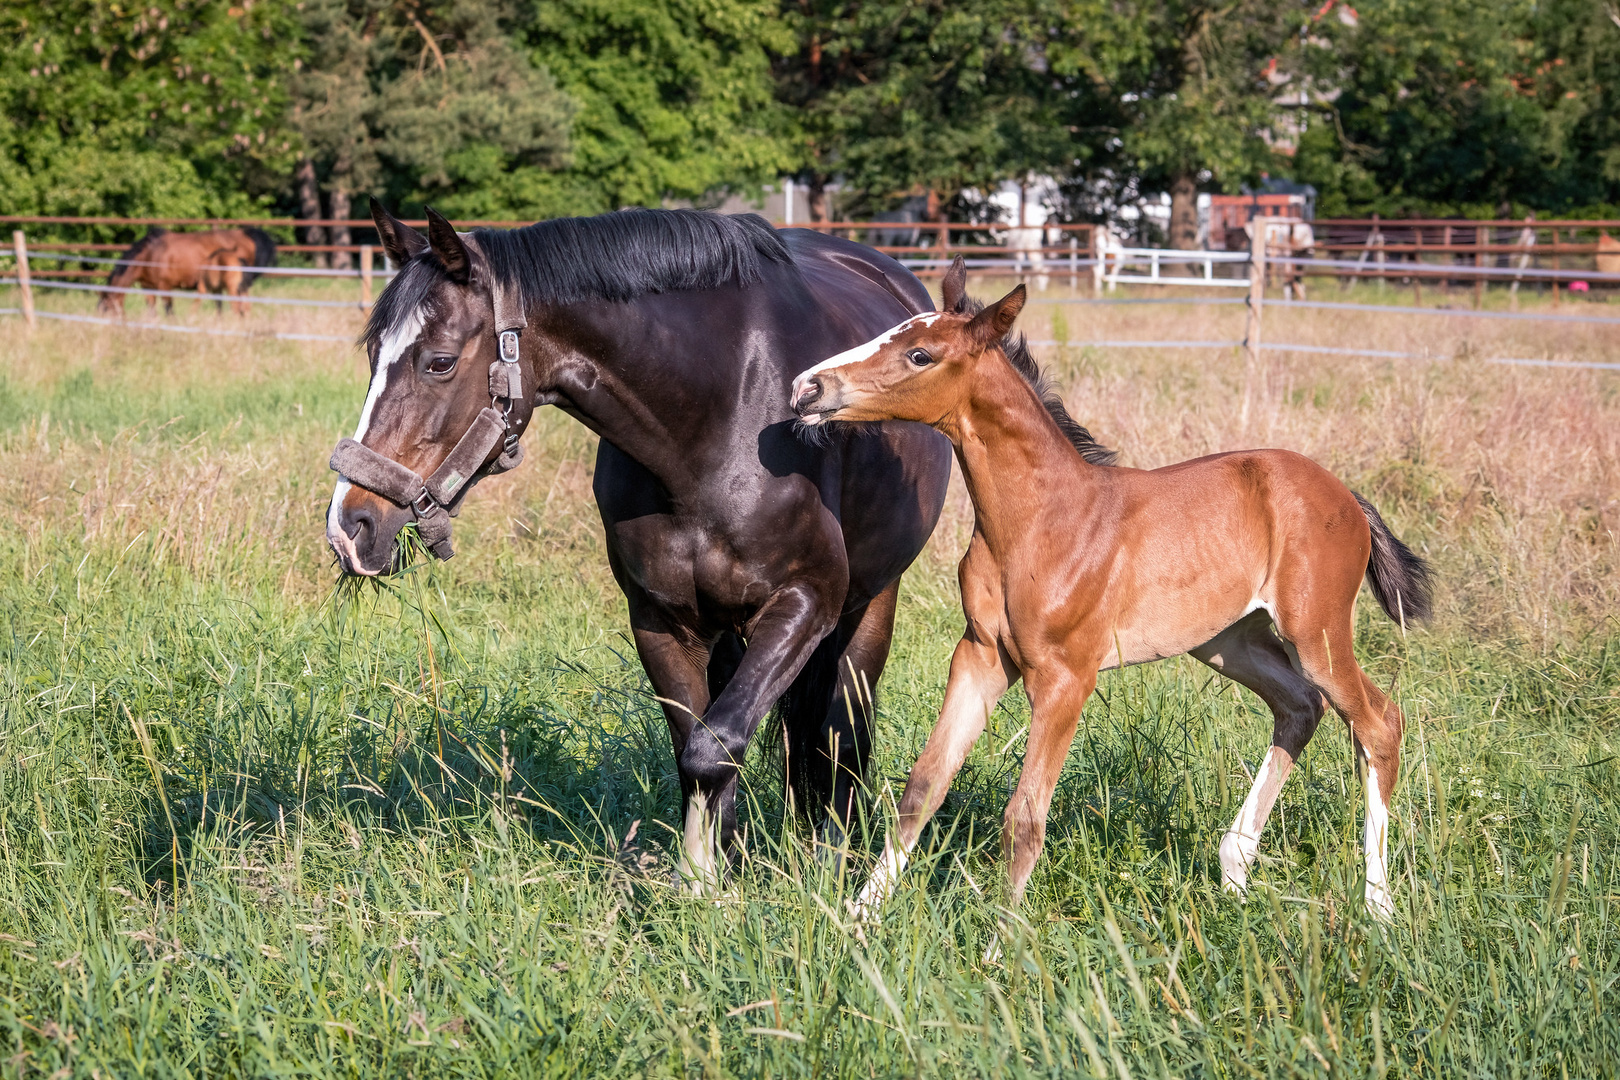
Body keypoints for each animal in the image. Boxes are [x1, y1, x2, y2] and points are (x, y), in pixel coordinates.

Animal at [98, 226, 277, 314]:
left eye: (106, 310)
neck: (150, 254)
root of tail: (244, 234)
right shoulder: (148, 288)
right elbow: (152, 312)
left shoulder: (165, 287)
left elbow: (169, 312)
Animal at [790, 259, 1438, 932]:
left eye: (920, 354)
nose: (807, 388)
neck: (1042, 519)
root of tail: (1346, 496)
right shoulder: (980, 657)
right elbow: (923, 786)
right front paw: (858, 917)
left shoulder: (1066, 678)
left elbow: (1025, 817)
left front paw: (1003, 941)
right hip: (1228, 642)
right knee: (1299, 707)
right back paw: (1235, 874)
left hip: (1316, 630)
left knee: (1378, 723)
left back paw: (1379, 905)